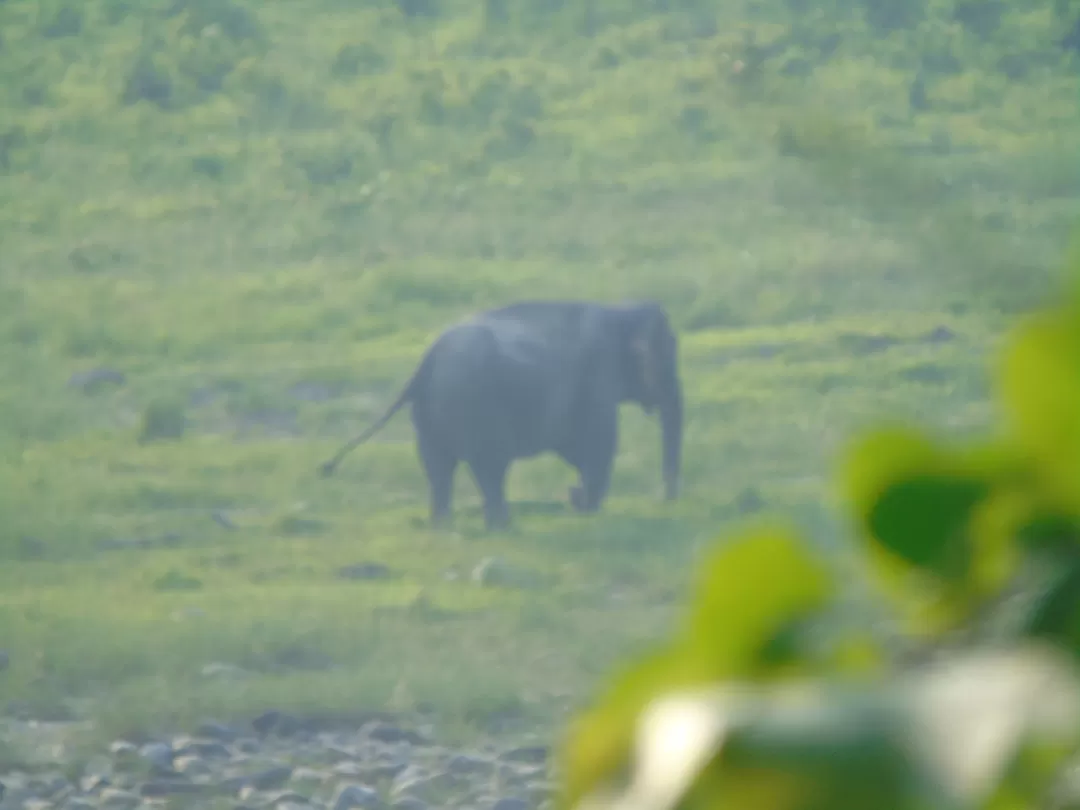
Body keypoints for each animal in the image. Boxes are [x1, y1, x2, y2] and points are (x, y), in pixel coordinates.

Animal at [315, 300, 682, 533]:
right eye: (668, 358)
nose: (665, 500)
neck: (620, 309)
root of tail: (425, 363)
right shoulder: (596, 380)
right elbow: (596, 445)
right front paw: (585, 507)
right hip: (475, 407)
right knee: (489, 467)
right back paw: (502, 526)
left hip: (430, 416)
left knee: (439, 469)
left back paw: (444, 527)